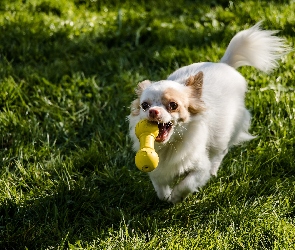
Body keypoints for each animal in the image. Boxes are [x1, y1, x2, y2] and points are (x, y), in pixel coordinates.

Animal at [128, 22, 290, 204]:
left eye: (173, 105)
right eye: (145, 105)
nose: (153, 111)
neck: (170, 145)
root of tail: (224, 64)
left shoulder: (200, 167)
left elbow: (187, 183)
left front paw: (177, 196)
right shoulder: (158, 170)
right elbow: (161, 190)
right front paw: (168, 197)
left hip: (225, 134)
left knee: (220, 152)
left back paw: (214, 170)